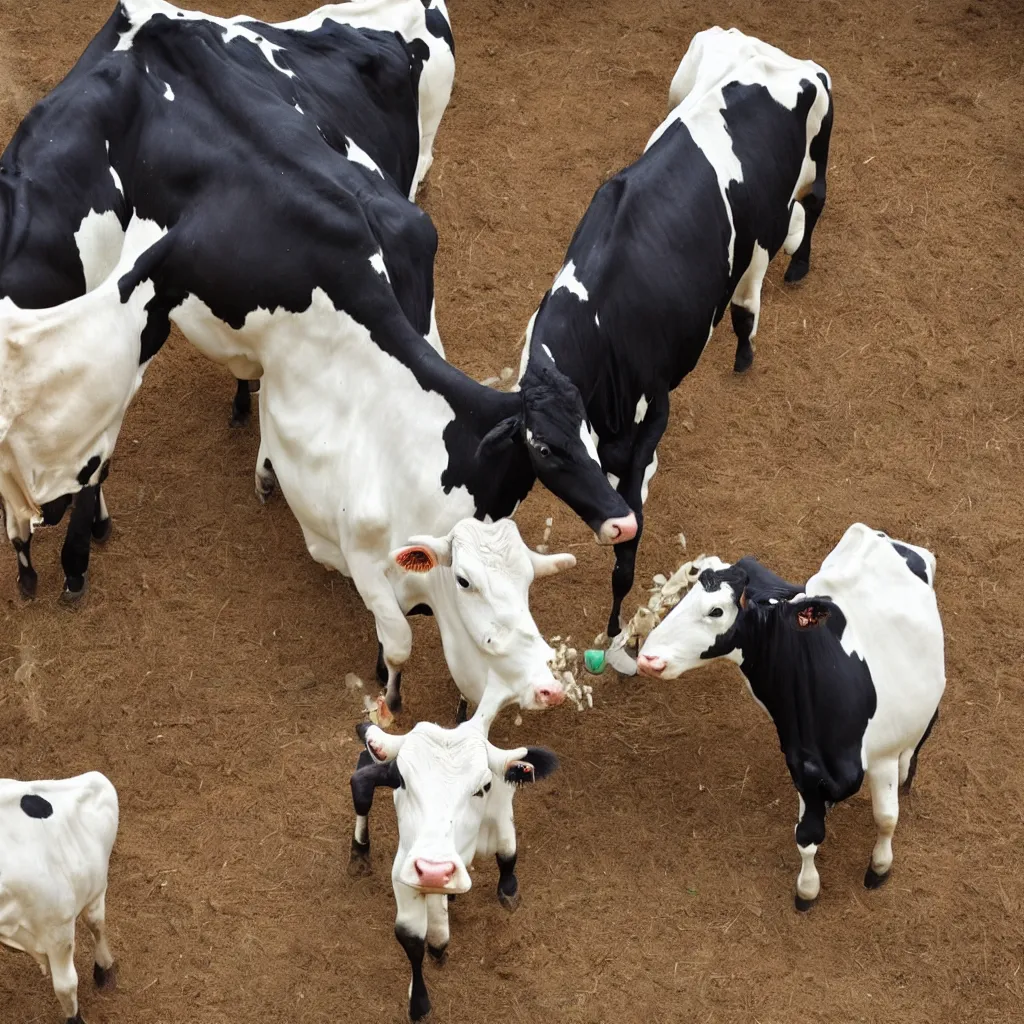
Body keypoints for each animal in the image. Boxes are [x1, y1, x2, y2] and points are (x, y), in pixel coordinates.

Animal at [0, 770, 119, 1019]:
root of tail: (95, 776)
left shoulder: (58, 933)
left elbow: (65, 987)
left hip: (95, 890)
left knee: (96, 925)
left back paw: (104, 968)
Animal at [352, 720, 561, 1024]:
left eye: (484, 786)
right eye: (402, 780)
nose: (434, 872)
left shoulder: (501, 811)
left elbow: (508, 854)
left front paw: (508, 888)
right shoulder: (405, 871)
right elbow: (410, 938)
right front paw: (419, 1002)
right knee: (361, 782)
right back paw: (359, 852)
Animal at [512, 28, 831, 667]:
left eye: (571, 442)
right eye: (544, 452)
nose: (613, 525)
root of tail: (780, 55)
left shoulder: (653, 413)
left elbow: (626, 558)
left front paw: (618, 636)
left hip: (811, 163)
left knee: (810, 209)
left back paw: (781, 290)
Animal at [638, 524, 942, 909]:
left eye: (717, 611)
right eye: (684, 596)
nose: (647, 658)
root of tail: (879, 535)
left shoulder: (882, 755)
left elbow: (886, 819)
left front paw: (880, 867)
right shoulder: (804, 767)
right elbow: (807, 836)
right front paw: (807, 890)